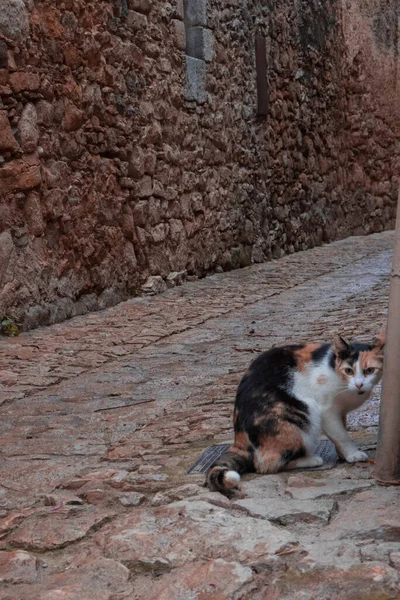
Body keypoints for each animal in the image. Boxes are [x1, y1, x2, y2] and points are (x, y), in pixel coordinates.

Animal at [206, 332, 384, 492]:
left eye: (370, 370)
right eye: (349, 371)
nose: (359, 384)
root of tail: (239, 438)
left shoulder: (340, 411)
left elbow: (341, 431)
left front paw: (343, 455)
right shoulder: (327, 410)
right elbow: (341, 435)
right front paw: (353, 454)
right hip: (302, 417)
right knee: (266, 465)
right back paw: (311, 460)